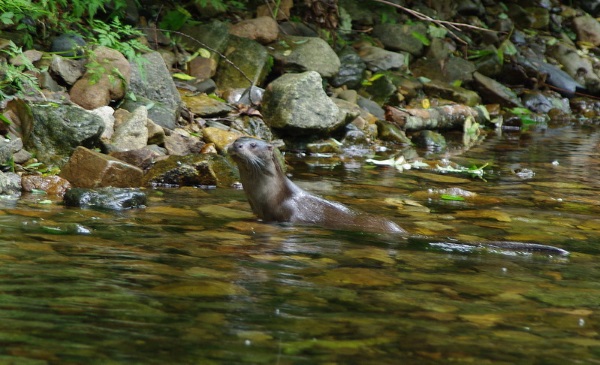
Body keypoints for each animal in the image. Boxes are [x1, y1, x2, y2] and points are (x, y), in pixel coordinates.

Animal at [227, 136, 568, 256]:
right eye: (237, 138)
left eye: (254, 144)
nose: (235, 145)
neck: (268, 196)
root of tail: (401, 230)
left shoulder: (289, 215)